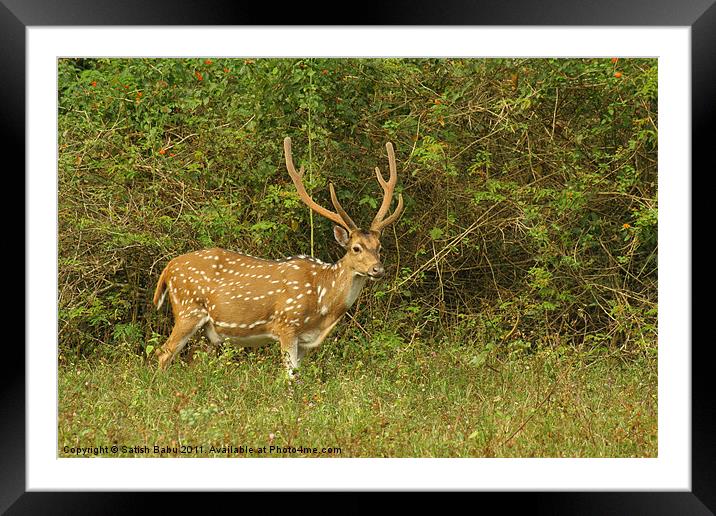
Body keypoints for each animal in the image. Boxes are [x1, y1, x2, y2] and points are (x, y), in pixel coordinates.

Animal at [152, 138, 402, 378]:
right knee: (163, 353)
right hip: (188, 309)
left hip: (205, 330)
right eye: (356, 248)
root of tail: (168, 267)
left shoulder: (305, 342)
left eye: (379, 247)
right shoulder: (287, 325)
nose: (378, 269)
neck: (322, 303)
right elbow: (290, 377)